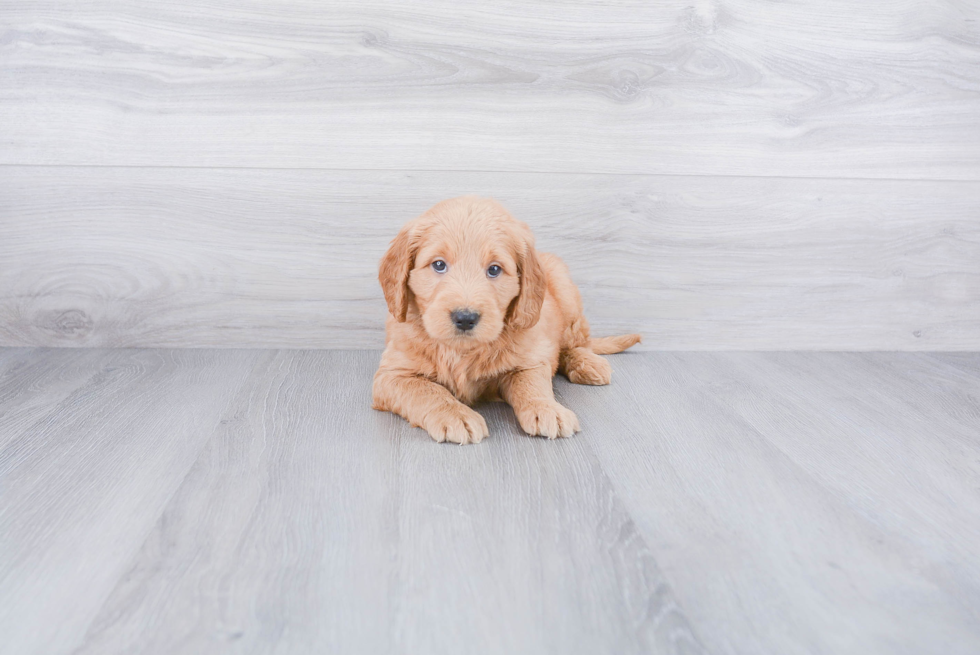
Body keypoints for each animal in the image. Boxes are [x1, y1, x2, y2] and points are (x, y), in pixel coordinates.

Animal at [372, 195, 640, 444]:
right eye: (438, 265)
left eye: (494, 269)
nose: (465, 318)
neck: (462, 351)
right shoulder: (391, 375)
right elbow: (426, 390)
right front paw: (456, 415)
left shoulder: (530, 358)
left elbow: (531, 383)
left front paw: (547, 409)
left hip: (565, 289)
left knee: (575, 343)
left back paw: (587, 363)